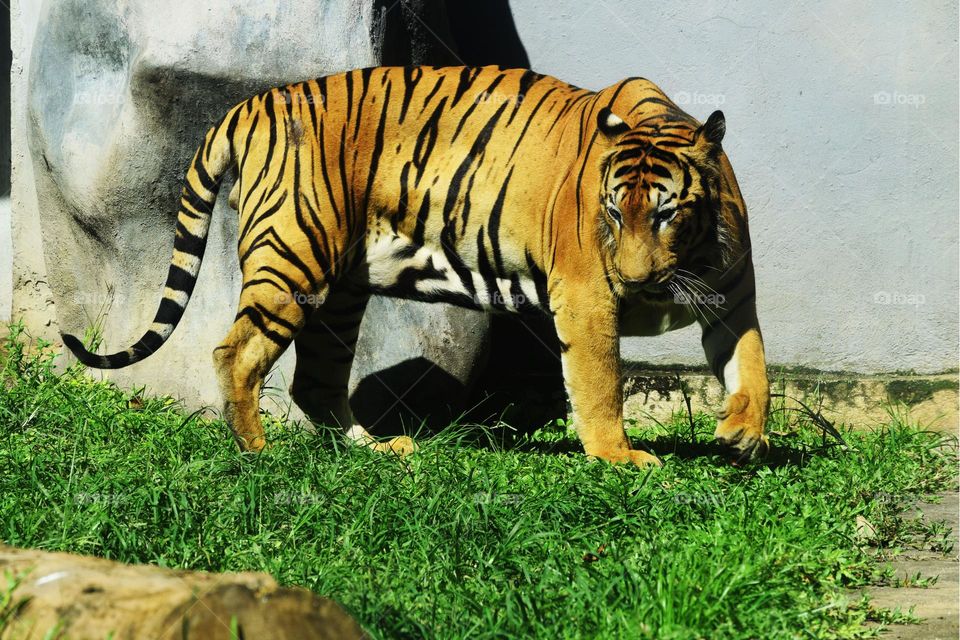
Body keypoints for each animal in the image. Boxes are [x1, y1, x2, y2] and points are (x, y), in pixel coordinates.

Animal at [63, 65, 770, 467]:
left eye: (667, 213)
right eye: (615, 214)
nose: (636, 281)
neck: (691, 254)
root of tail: (248, 105)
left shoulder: (734, 298)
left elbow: (753, 363)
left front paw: (744, 433)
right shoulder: (587, 295)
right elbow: (599, 382)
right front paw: (620, 458)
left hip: (340, 293)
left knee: (314, 381)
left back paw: (375, 449)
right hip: (294, 257)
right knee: (235, 353)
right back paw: (257, 453)